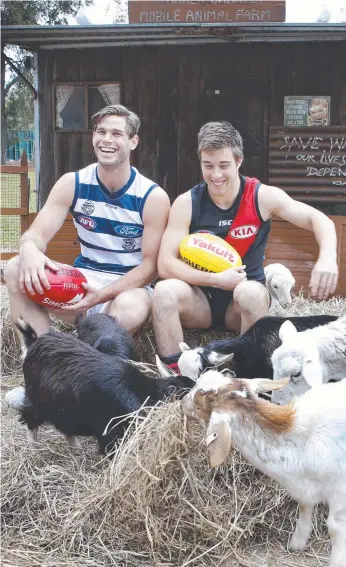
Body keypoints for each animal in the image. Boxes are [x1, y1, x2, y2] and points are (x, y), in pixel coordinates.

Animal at [15, 320, 195, 458]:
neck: (141, 390)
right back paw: (33, 449)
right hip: (37, 398)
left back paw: (76, 449)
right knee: (29, 417)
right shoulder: (111, 431)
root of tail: (33, 343)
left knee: (64, 427)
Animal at [181, 372, 346, 567]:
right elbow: (304, 505)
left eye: (199, 403)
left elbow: (335, 528)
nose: (181, 402)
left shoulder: (340, 494)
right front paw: (297, 542)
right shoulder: (304, 487)